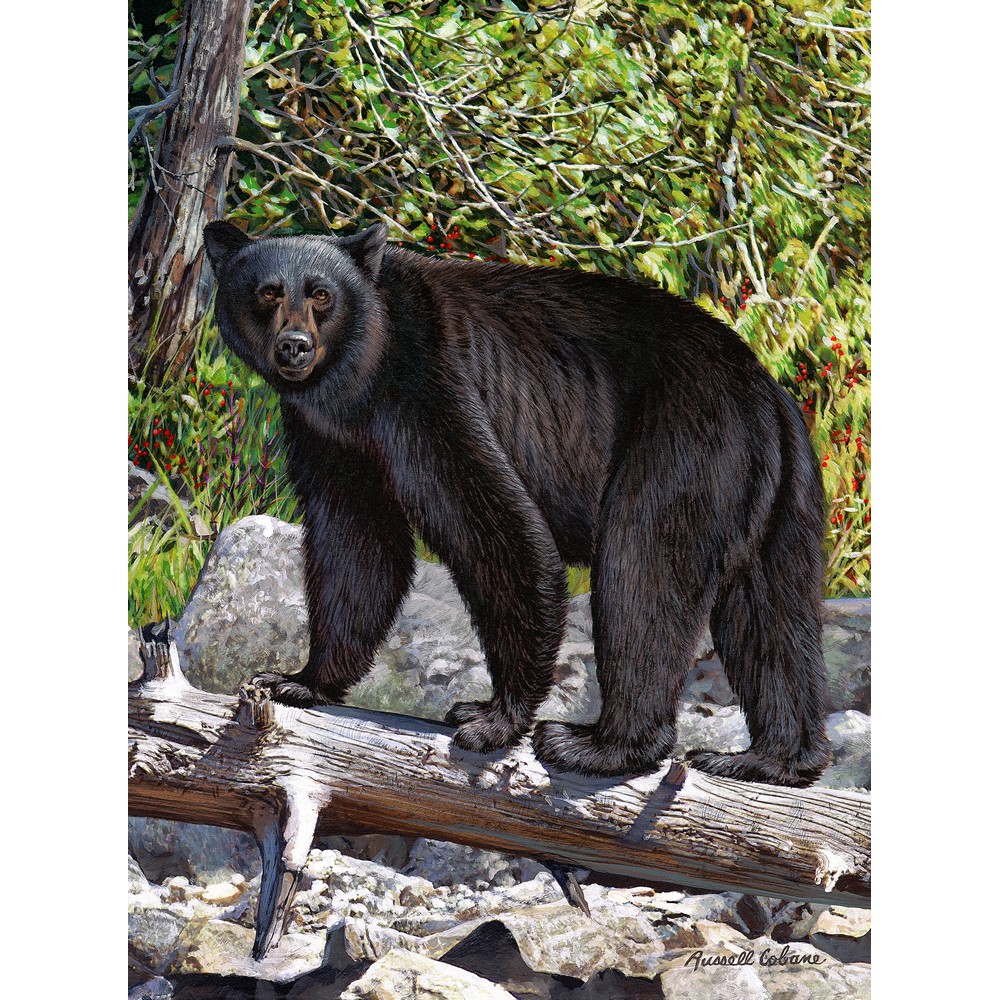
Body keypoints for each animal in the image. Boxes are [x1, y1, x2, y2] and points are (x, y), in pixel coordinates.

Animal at [203, 220, 831, 787]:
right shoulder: (332, 437)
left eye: (321, 294)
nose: (294, 347)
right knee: (773, 615)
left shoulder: (430, 386)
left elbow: (498, 530)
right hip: (782, 493)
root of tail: (762, 390)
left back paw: (597, 745)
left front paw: (493, 718)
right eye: (267, 291)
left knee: (643, 578)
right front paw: (298, 679)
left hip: (682, 449)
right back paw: (771, 759)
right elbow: (356, 542)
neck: (358, 378)